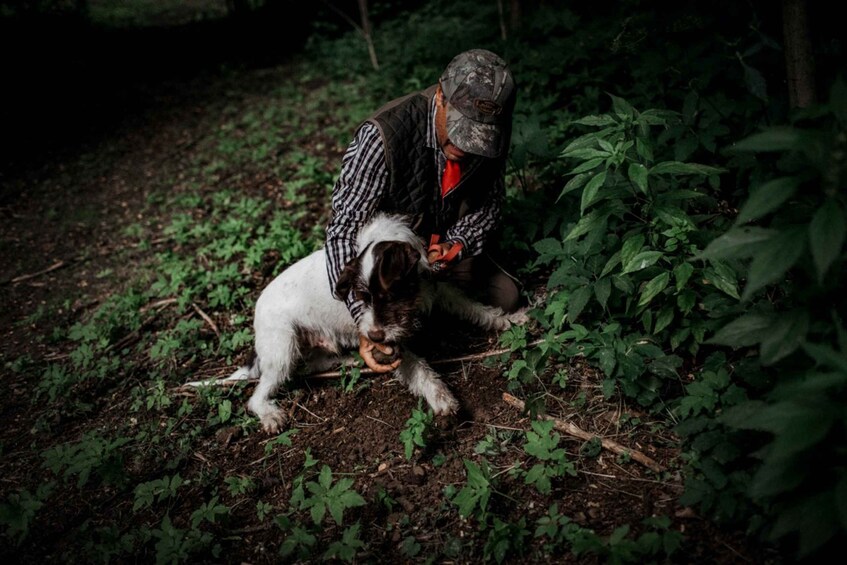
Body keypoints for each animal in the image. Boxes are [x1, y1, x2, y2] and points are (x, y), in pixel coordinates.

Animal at [238, 213, 528, 432]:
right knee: (256, 396)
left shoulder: (440, 292)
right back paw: (270, 415)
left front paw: (508, 319)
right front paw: (441, 399)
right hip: (283, 348)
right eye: (360, 296)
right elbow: (420, 369)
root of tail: (257, 310)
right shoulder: (392, 343)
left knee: (314, 363)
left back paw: (350, 361)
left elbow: (476, 309)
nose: (374, 338)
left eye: (387, 296)